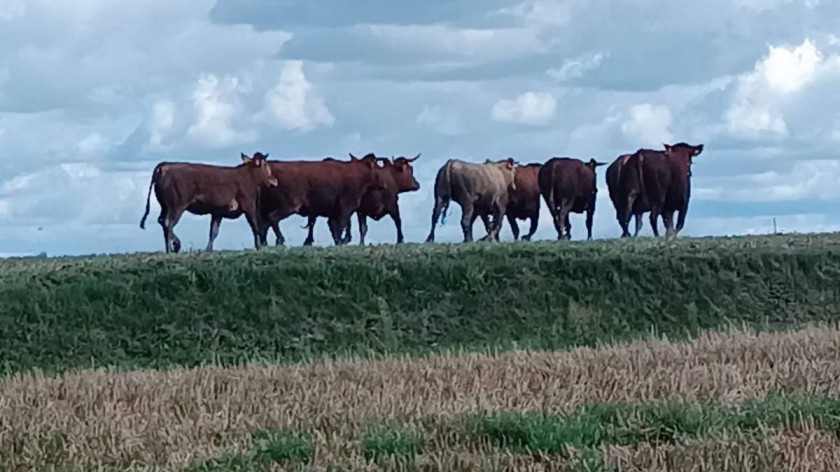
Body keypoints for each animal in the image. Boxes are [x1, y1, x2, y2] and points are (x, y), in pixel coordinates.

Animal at [139, 152, 278, 254]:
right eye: (265, 165)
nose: (274, 180)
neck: (248, 177)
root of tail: (164, 165)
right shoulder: (249, 205)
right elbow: (255, 226)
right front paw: (259, 246)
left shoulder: (218, 212)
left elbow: (213, 232)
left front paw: (208, 249)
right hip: (177, 206)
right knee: (168, 222)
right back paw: (172, 248)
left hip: (165, 206)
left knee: (162, 221)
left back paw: (173, 246)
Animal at [258, 152, 388, 247]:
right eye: (378, 168)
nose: (384, 185)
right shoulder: (346, 207)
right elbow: (340, 225)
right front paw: (340, 242)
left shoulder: (335, 211)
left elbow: (334, 226)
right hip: (290, 205)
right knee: (273, 218)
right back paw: (280, 240)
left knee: (264, 225)